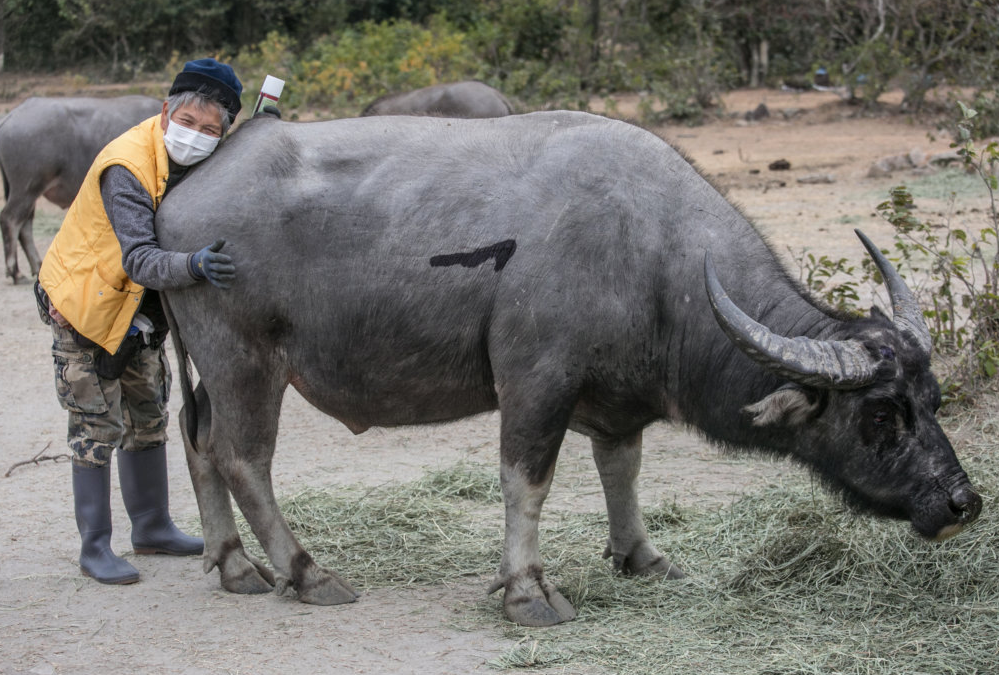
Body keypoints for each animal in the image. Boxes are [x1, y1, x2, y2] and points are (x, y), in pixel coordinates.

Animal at [0, 93, 163, 282]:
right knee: (11, 219)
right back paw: (16, 272)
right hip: (27, 189)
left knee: (25, 224)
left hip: (28, 193)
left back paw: (36, 266)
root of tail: (13, 115)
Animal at [158, 111, 984, 628]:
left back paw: (232, 564)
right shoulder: (535, 383)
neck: (653, 256)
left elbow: (622, 469)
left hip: (208, 367)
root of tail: (180, 198)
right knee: (244, 457)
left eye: (933, 398)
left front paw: (640, 555)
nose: (961, 502)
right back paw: (306, 572)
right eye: (878, 413)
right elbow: (527, 482)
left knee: (197, 443)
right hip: (245, 360)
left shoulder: (614, 403)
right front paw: (526, 591)